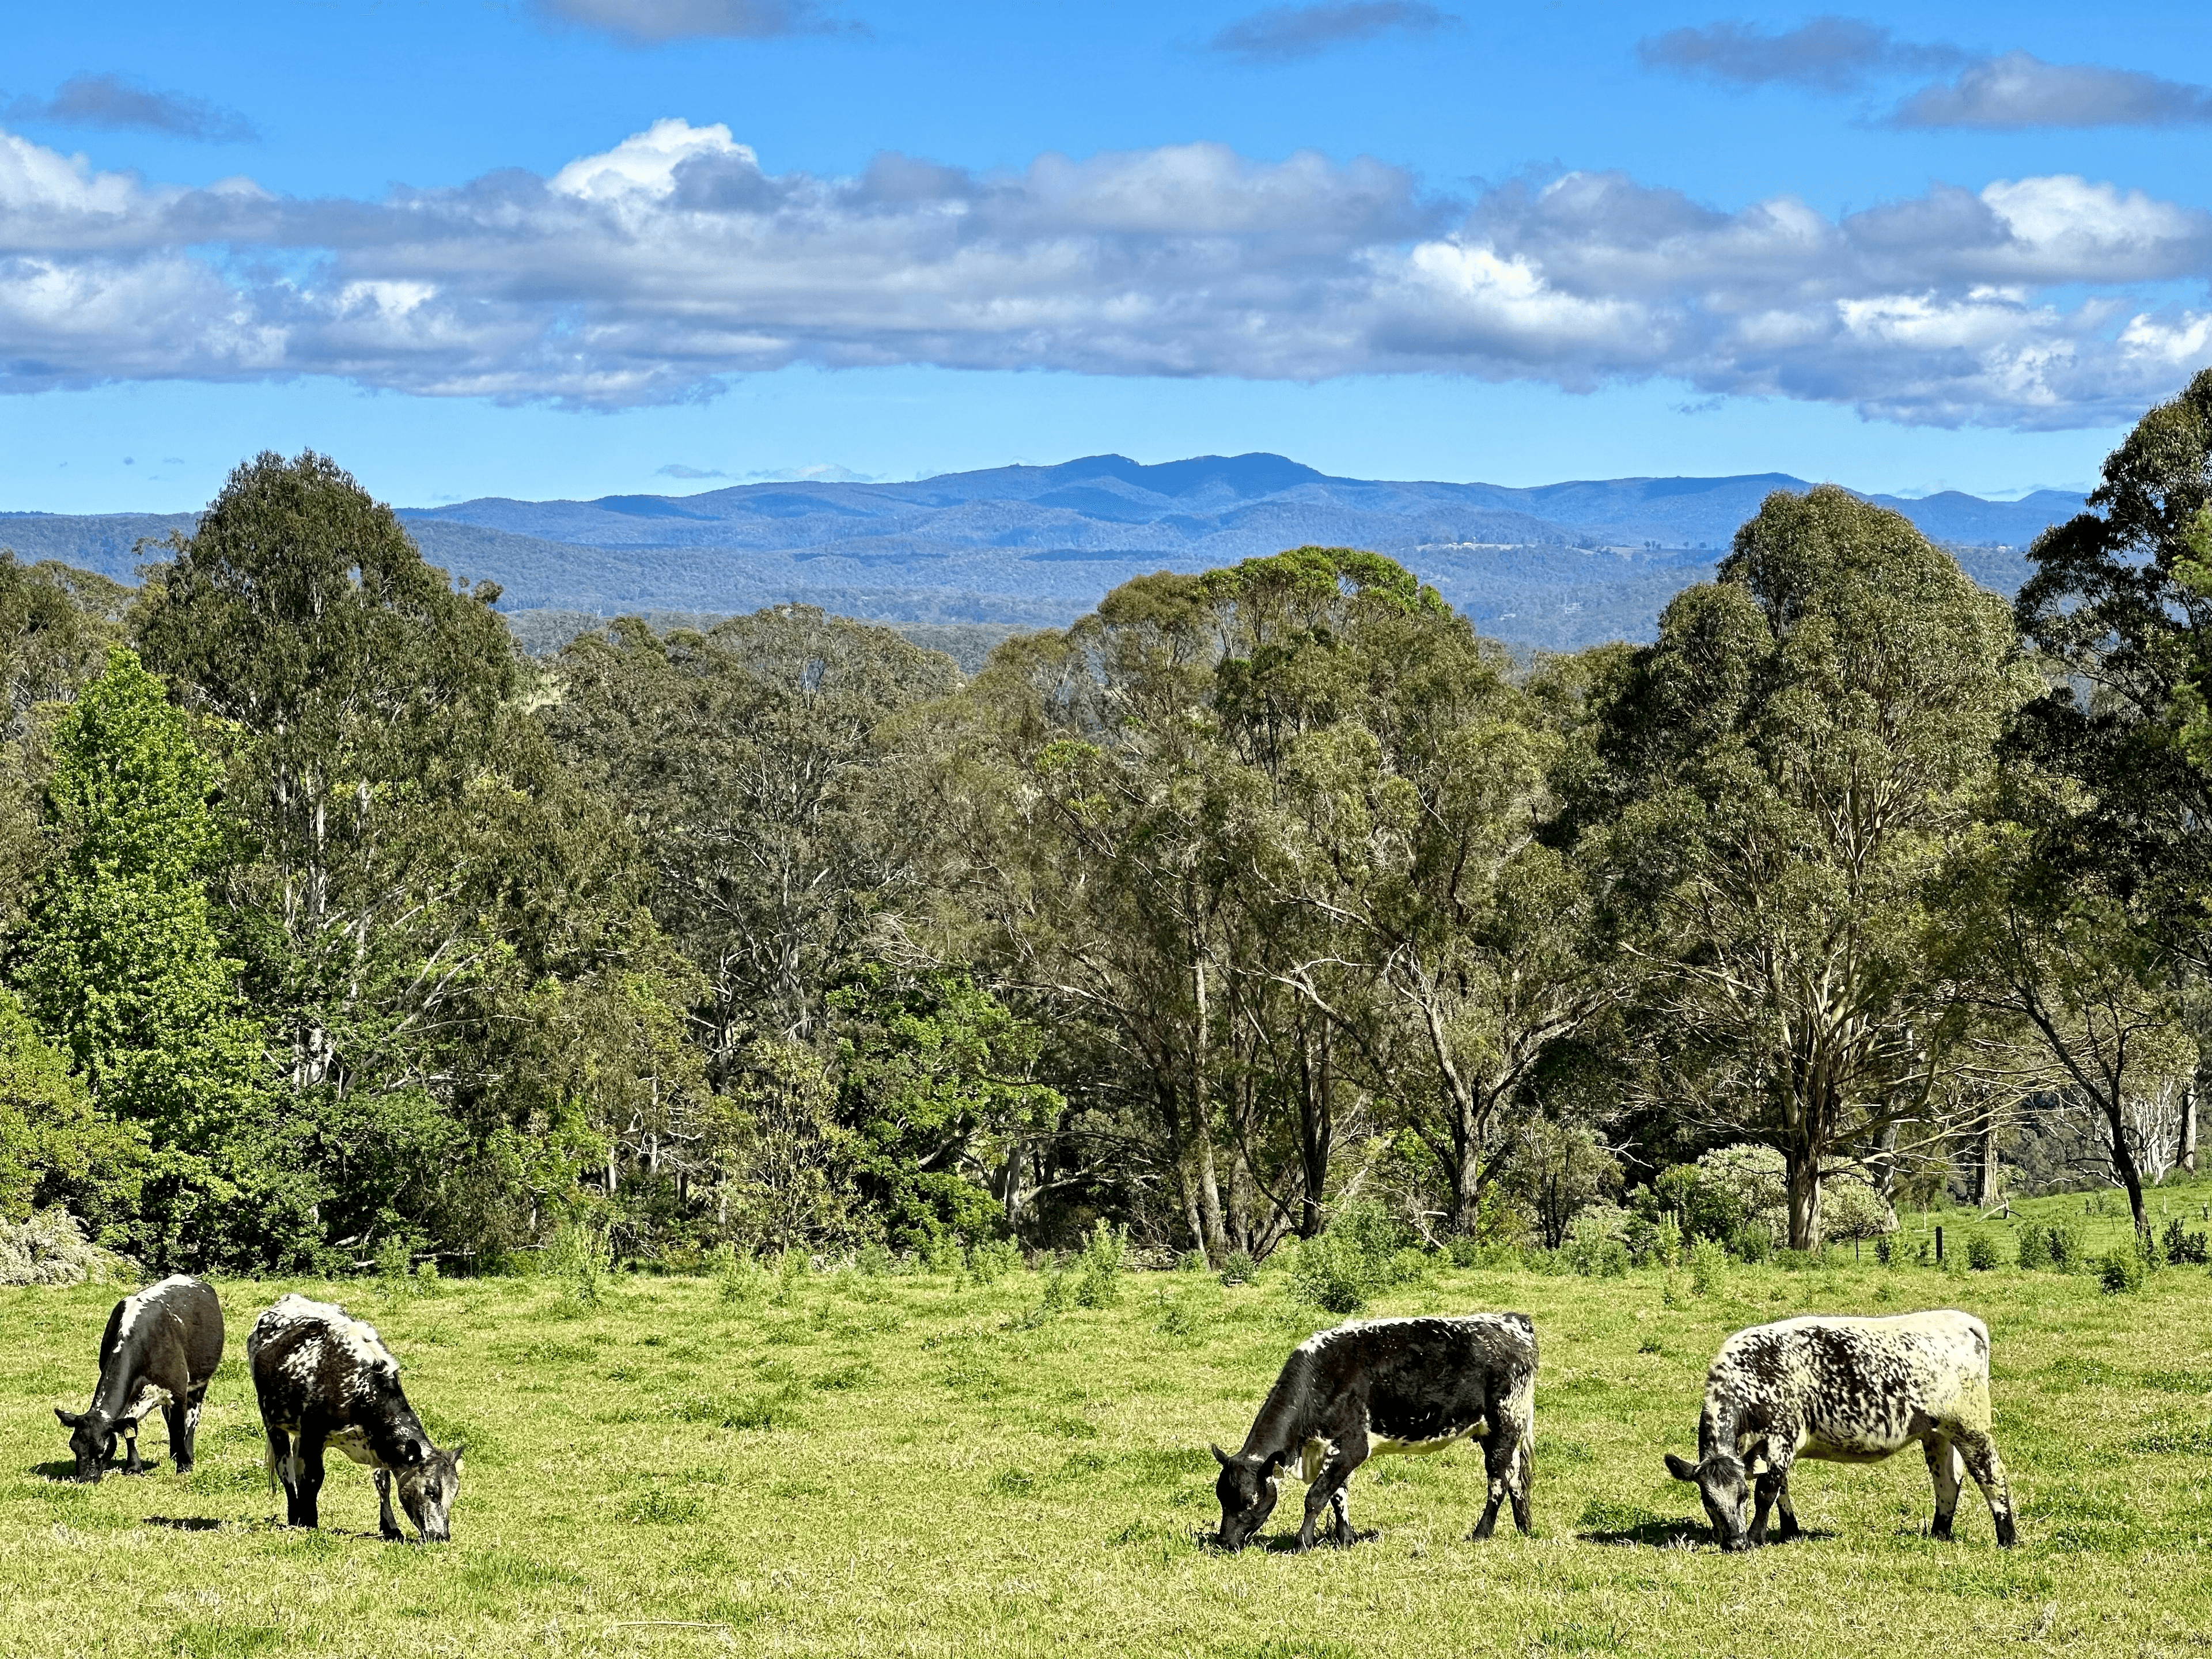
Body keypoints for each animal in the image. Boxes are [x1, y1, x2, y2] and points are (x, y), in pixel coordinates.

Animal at [56, 1274, 224, 1478]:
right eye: (73, 1447)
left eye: (102, 1449)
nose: (84, 1479)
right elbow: (131, 1433)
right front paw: (134, 1467)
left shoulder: (177, 1393)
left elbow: (179, 1427)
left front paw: (184, 1466)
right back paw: (174, 1454)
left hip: (199, 1384)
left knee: (191, 1420)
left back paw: (186, 1454)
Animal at [247, 1300, 462, 1548]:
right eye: (430, 1490)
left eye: (455, 1493)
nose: (441, 1536)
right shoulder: (314, 1434)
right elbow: (314, 1477)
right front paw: (309, 1521)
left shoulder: (379, 1442)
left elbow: (383, 1482)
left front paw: (390, 1527)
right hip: (272, 1420)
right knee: (286, 1469)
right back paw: (295, 1514)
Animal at [1212, 1309, 1539, 1557]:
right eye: (1221, 1497)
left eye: (1249, 1501)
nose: (1225, 1542)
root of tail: (1512, 1321)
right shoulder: (1334, 1450)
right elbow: (1338, 1496)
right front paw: (1345, 1540)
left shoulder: (1352, 1447)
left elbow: (1316, 1497)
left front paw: (1303, 1543)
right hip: (1497, 1431)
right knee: (1514, 1479)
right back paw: (1524, 1529)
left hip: (1505, 1423)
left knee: (1498, 1481)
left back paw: (1481, 1533)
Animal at [1663, 1309, 2017, 1557]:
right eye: (1707, 1500)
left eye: (1742, 1495)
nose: (1734, 1543)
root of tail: (1963, 1320)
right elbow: (1781, 1490)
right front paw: (1790, 1531)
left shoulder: (1782, 1438)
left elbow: (1768, 1490)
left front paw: (1755, 1537)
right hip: (1936, 1433)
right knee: (1947, 1481)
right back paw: (1939, 1533)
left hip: (1970, 1425)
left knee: (1991, 1475)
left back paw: (2007, 1539)